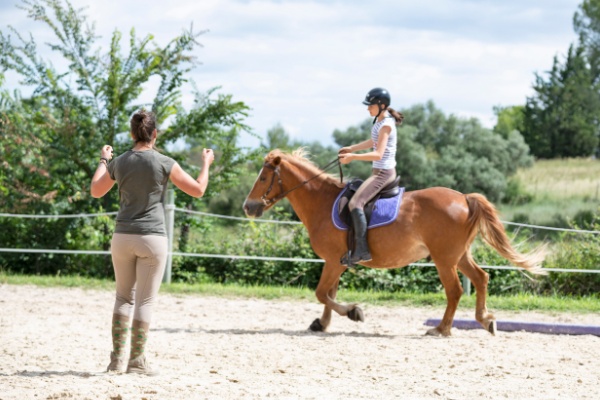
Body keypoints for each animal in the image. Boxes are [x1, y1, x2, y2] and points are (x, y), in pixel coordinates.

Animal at [241, 148, 548, 336]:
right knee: (481, 278)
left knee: (455, 290)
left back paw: (441, 329)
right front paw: (322, 323)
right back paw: (486, 320)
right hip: (458, 255)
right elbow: (329, 294)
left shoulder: (333, 261)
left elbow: (321, 293)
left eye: (264, 177)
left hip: (444, 259)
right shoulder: (336, 261)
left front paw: (354, 312)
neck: (322, 202)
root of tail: (463, 198)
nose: (248, 207)